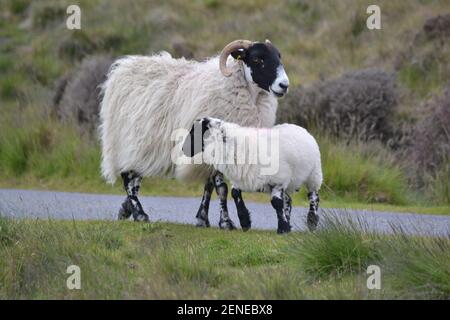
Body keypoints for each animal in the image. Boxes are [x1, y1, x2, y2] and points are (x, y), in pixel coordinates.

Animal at [100, 39, 290, 230]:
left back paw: (126, 210)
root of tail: (123, 67)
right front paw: (226, 222)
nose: (284, 85)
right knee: (127, 176)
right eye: (258, 59)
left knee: (135, 178)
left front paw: (202, 218)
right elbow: (221, 187)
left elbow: (209, 186)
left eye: (279, 56)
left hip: (146, 148)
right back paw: (140, 214)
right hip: (126, 141)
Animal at [181, 117, 322, 232]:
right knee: (288, 200)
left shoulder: (278, 179)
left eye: (194, 132)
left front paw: (283, 228)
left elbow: (276, 202)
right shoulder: (241, 178)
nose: (183, 149)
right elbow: (235, 194)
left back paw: (312, 221)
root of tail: (300, 128)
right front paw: (245, 222)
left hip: (314, 174)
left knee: (313, 196)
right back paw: (288, 219)